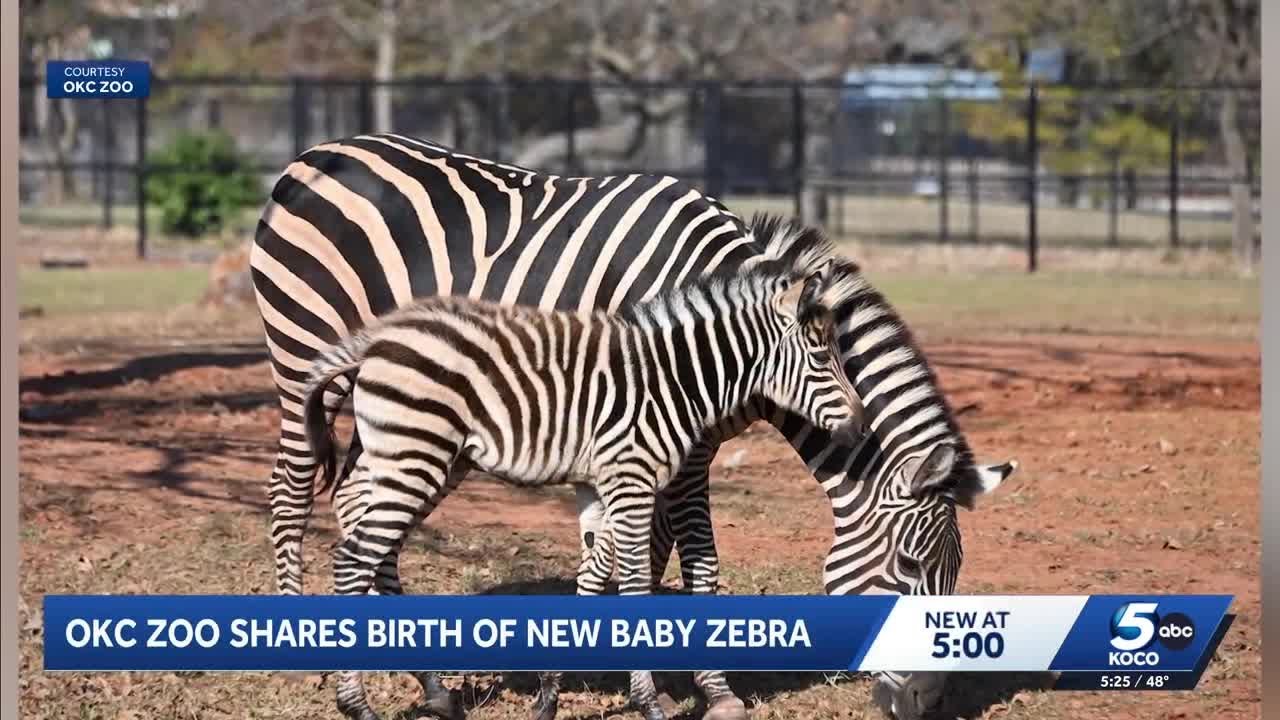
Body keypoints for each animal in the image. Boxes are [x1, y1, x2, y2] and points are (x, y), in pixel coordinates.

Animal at [301, 262, 864, 720]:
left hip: (419, 459)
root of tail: (377, 338)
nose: (860, 431)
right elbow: (633, 586)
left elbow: (593, 577)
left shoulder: (600, 484)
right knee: (354, 558)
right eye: (820, 358)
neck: (673, 382)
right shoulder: (631, 479)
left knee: (372, 544)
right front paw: (647, 702)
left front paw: (549, 697)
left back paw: (435, 693)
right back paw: (356, 705)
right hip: (415, 454)